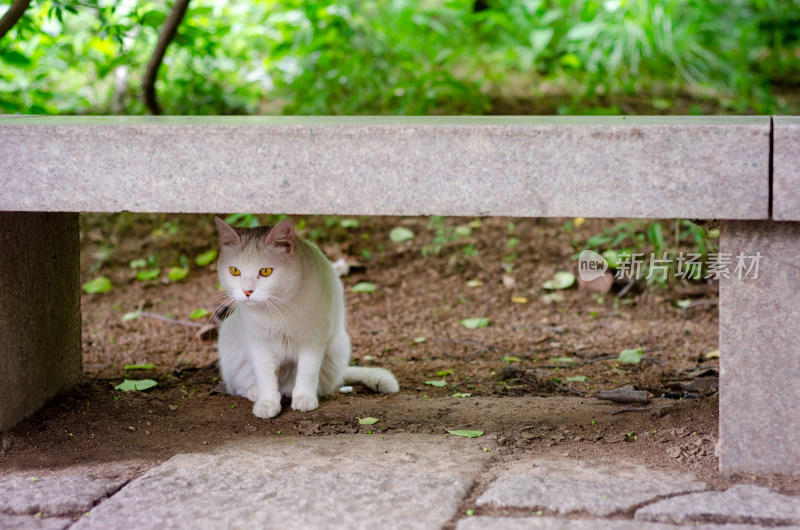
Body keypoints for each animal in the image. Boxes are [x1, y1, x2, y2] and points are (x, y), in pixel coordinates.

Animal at [214, 216, 398, 416]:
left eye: (265, 271)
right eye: (234, 271)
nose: (247, 291)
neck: (277, 308)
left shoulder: (313, 340)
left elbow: (307, 371)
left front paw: (304, 398)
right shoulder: (259, 343)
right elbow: (266, 375)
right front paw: (267, 403)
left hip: (339, 347)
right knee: (240, 387)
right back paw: (255, 392)